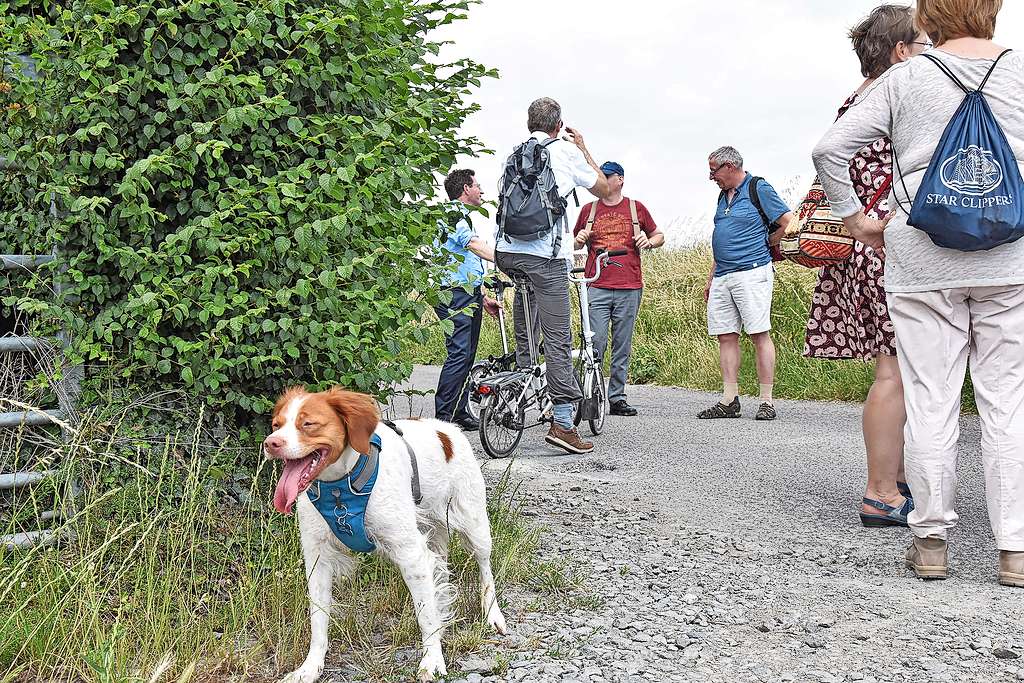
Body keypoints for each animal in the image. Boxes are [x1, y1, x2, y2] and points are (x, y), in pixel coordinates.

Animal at [262, 387, 505, 679]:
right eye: (276, 425)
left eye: (308, 424)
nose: (270, 443)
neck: (341, 484)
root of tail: (448, 429)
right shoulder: (317, 557)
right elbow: (318, 618)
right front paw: (310, 667)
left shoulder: (411, 552)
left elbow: (425, 613)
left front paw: (432, 660)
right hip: (434, 532)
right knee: (442, 572)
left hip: (474, 524)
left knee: (485, 568)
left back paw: (493, 615)